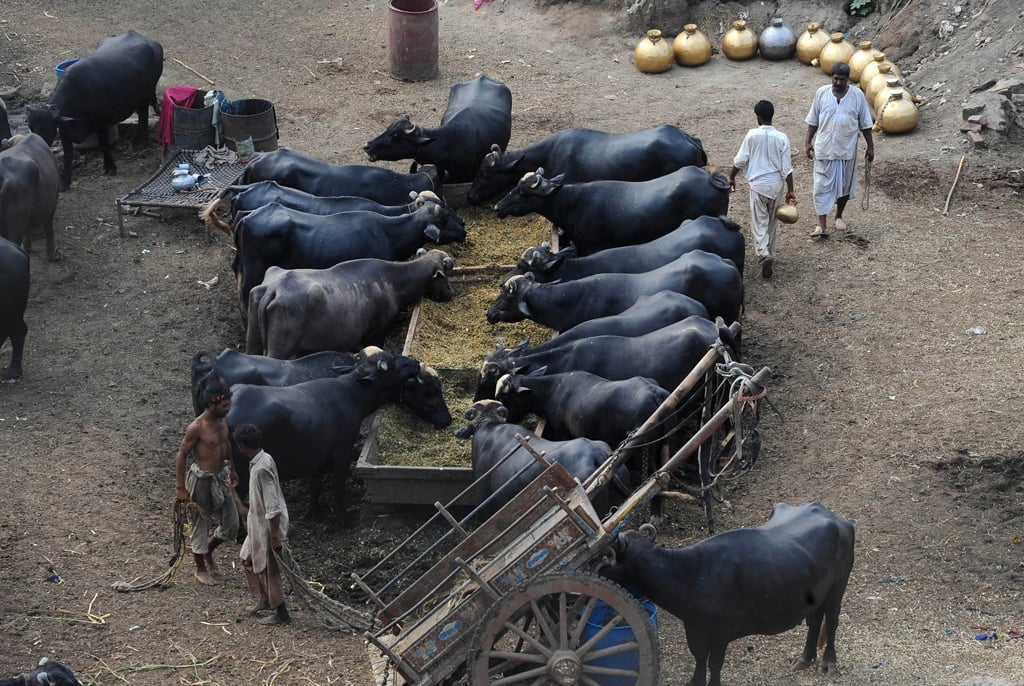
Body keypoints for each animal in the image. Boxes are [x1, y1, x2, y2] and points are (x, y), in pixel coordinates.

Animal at [25, 31, 161, 189]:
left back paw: (140, 143)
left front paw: (110, 167)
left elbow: (104, 145)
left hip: (147, 93)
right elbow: (68, 155)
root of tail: (152, 43)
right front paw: (65, 182)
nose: (36, 143)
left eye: (46, 128)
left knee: (143, 115)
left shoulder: (101, 124)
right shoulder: (65, 131)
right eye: (31, 127)